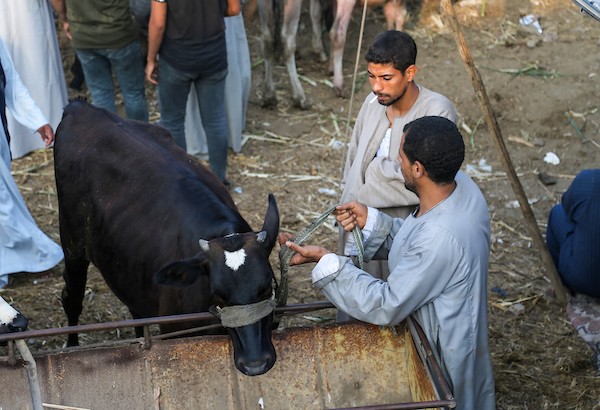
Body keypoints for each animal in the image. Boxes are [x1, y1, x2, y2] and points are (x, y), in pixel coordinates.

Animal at [54, 101, 278, 376]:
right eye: (218, 294)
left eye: (266, 286)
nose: (256, 364)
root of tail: (80, 107)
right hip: (72, 241)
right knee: (72, 297)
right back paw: (71, 347)